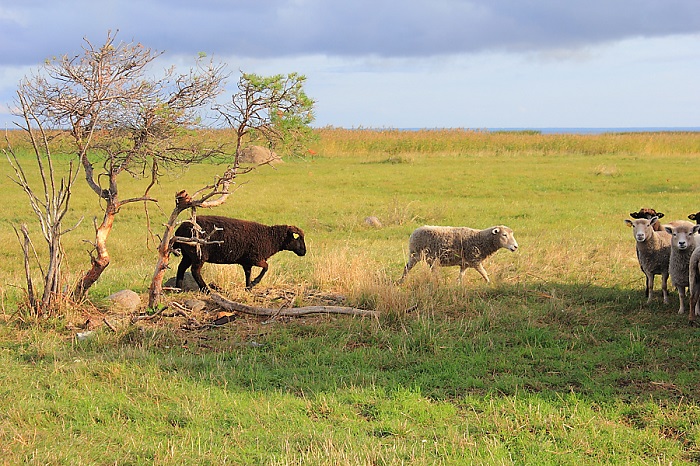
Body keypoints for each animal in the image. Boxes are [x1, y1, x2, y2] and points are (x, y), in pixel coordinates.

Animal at [173, 216, 306, 292]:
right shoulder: (255, 258)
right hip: (198, 254)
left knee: (181, 268)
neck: (270, 237)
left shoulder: (247, 262)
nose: (304, 252)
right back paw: (206, 290)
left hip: (188, 254)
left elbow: (248, 274)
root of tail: (179, 230)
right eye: (297, 238)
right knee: (195, 271)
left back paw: (179, 288)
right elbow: (266, 267)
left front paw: (248, 288)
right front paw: (254, 283)